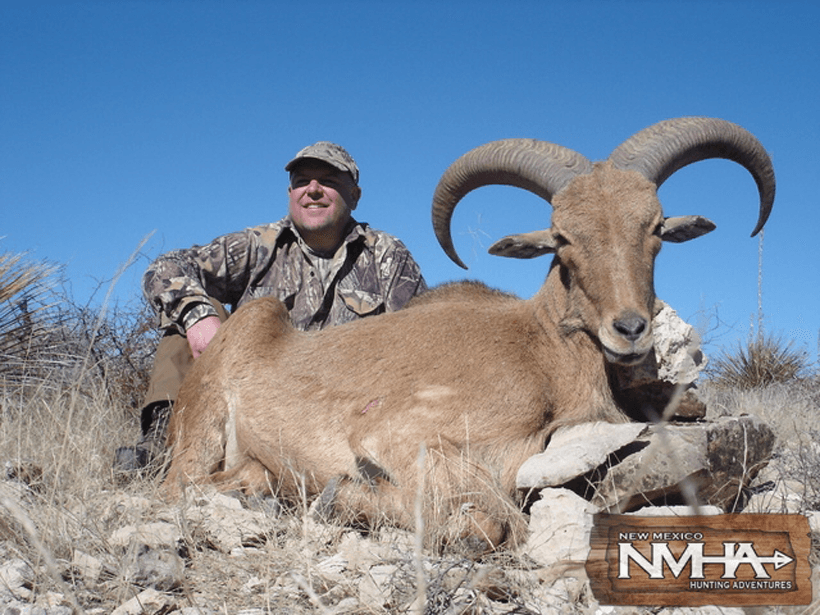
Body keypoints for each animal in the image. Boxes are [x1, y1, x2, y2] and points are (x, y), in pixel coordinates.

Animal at [162, 117, 775, 553]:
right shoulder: (399, 435)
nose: (629, 328)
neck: (541, 353)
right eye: (561, 236)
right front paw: (343, 498)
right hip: (205, 424)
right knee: (177, 486)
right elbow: (485, 522)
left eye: (655, 228)